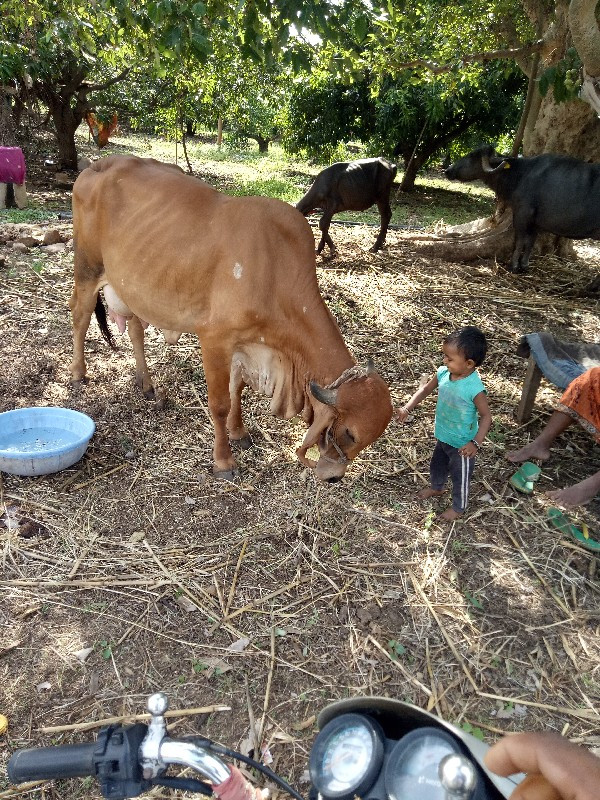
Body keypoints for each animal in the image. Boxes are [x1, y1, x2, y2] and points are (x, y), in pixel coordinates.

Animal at [70, 156, 392, 482]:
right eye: (350, 433)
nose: (333, 476)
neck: (274, 271)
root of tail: (99, 165)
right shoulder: (214, 340)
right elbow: (220, 403)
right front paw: (223, 461)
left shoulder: (245, 345)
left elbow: (238, 388)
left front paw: (239, 432)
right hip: (87, 268)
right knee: (79, 316)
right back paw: (77, 374)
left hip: (133, 287)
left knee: (136, 328)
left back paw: (146, 384)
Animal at [442, 147, 600, 276]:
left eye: (472, 156)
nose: (448, 170)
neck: (521, 174)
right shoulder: (535, 222)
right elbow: (530, 241)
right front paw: (524, 265)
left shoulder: (521, 214)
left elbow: (519, 240)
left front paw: (513, 266)